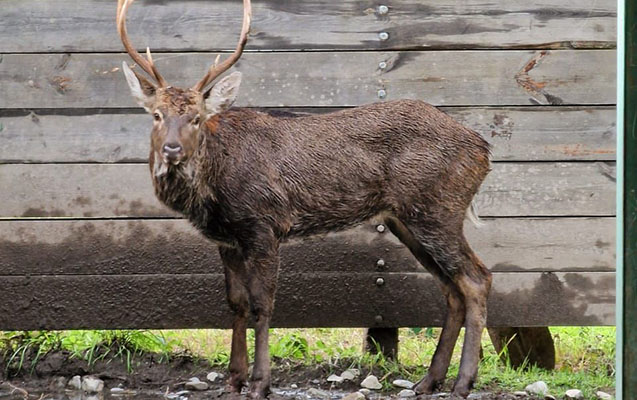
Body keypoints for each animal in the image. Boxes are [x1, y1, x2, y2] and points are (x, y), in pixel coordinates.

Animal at [115, 1, 492, 398]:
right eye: (157, 115)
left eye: (196, 118)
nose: (172, 150)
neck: (215, 188)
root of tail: (484, 149)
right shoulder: (227, 239)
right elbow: (236, 303)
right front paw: (234, 379)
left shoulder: (263, 224)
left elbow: (262, 304)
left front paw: (260, 382)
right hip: (406, 219)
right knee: (451, 288)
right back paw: (429, 380)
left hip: (439, 209)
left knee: (476, 279)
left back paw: (462, 382)